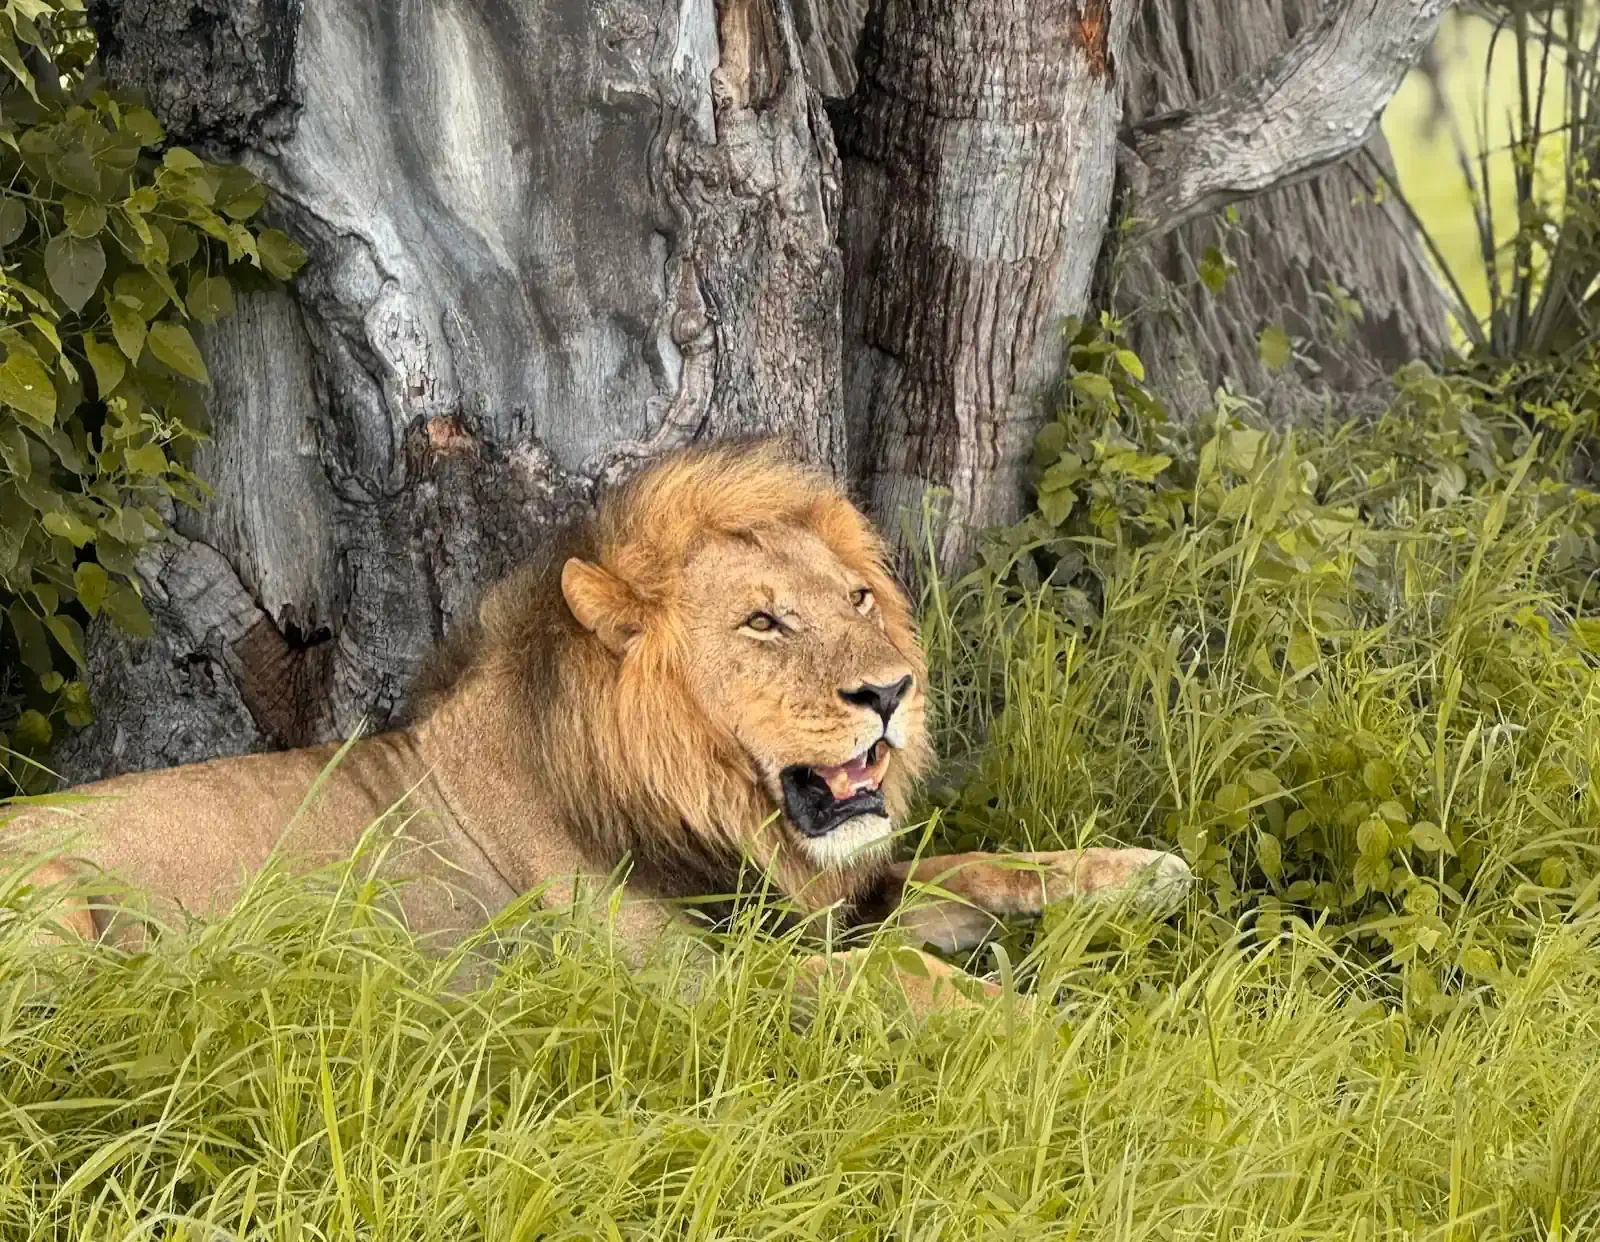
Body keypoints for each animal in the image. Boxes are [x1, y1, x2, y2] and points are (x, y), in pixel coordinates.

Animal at [2, 440, 1192, 1014]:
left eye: (859, 598)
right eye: (763, 622)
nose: (894, 692)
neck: (703, 807)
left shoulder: (804, 907)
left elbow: (976, 866)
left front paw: (1139, 872)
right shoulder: (699, 988)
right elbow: (899, 980)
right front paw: (1066, 1043)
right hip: (53, 901)